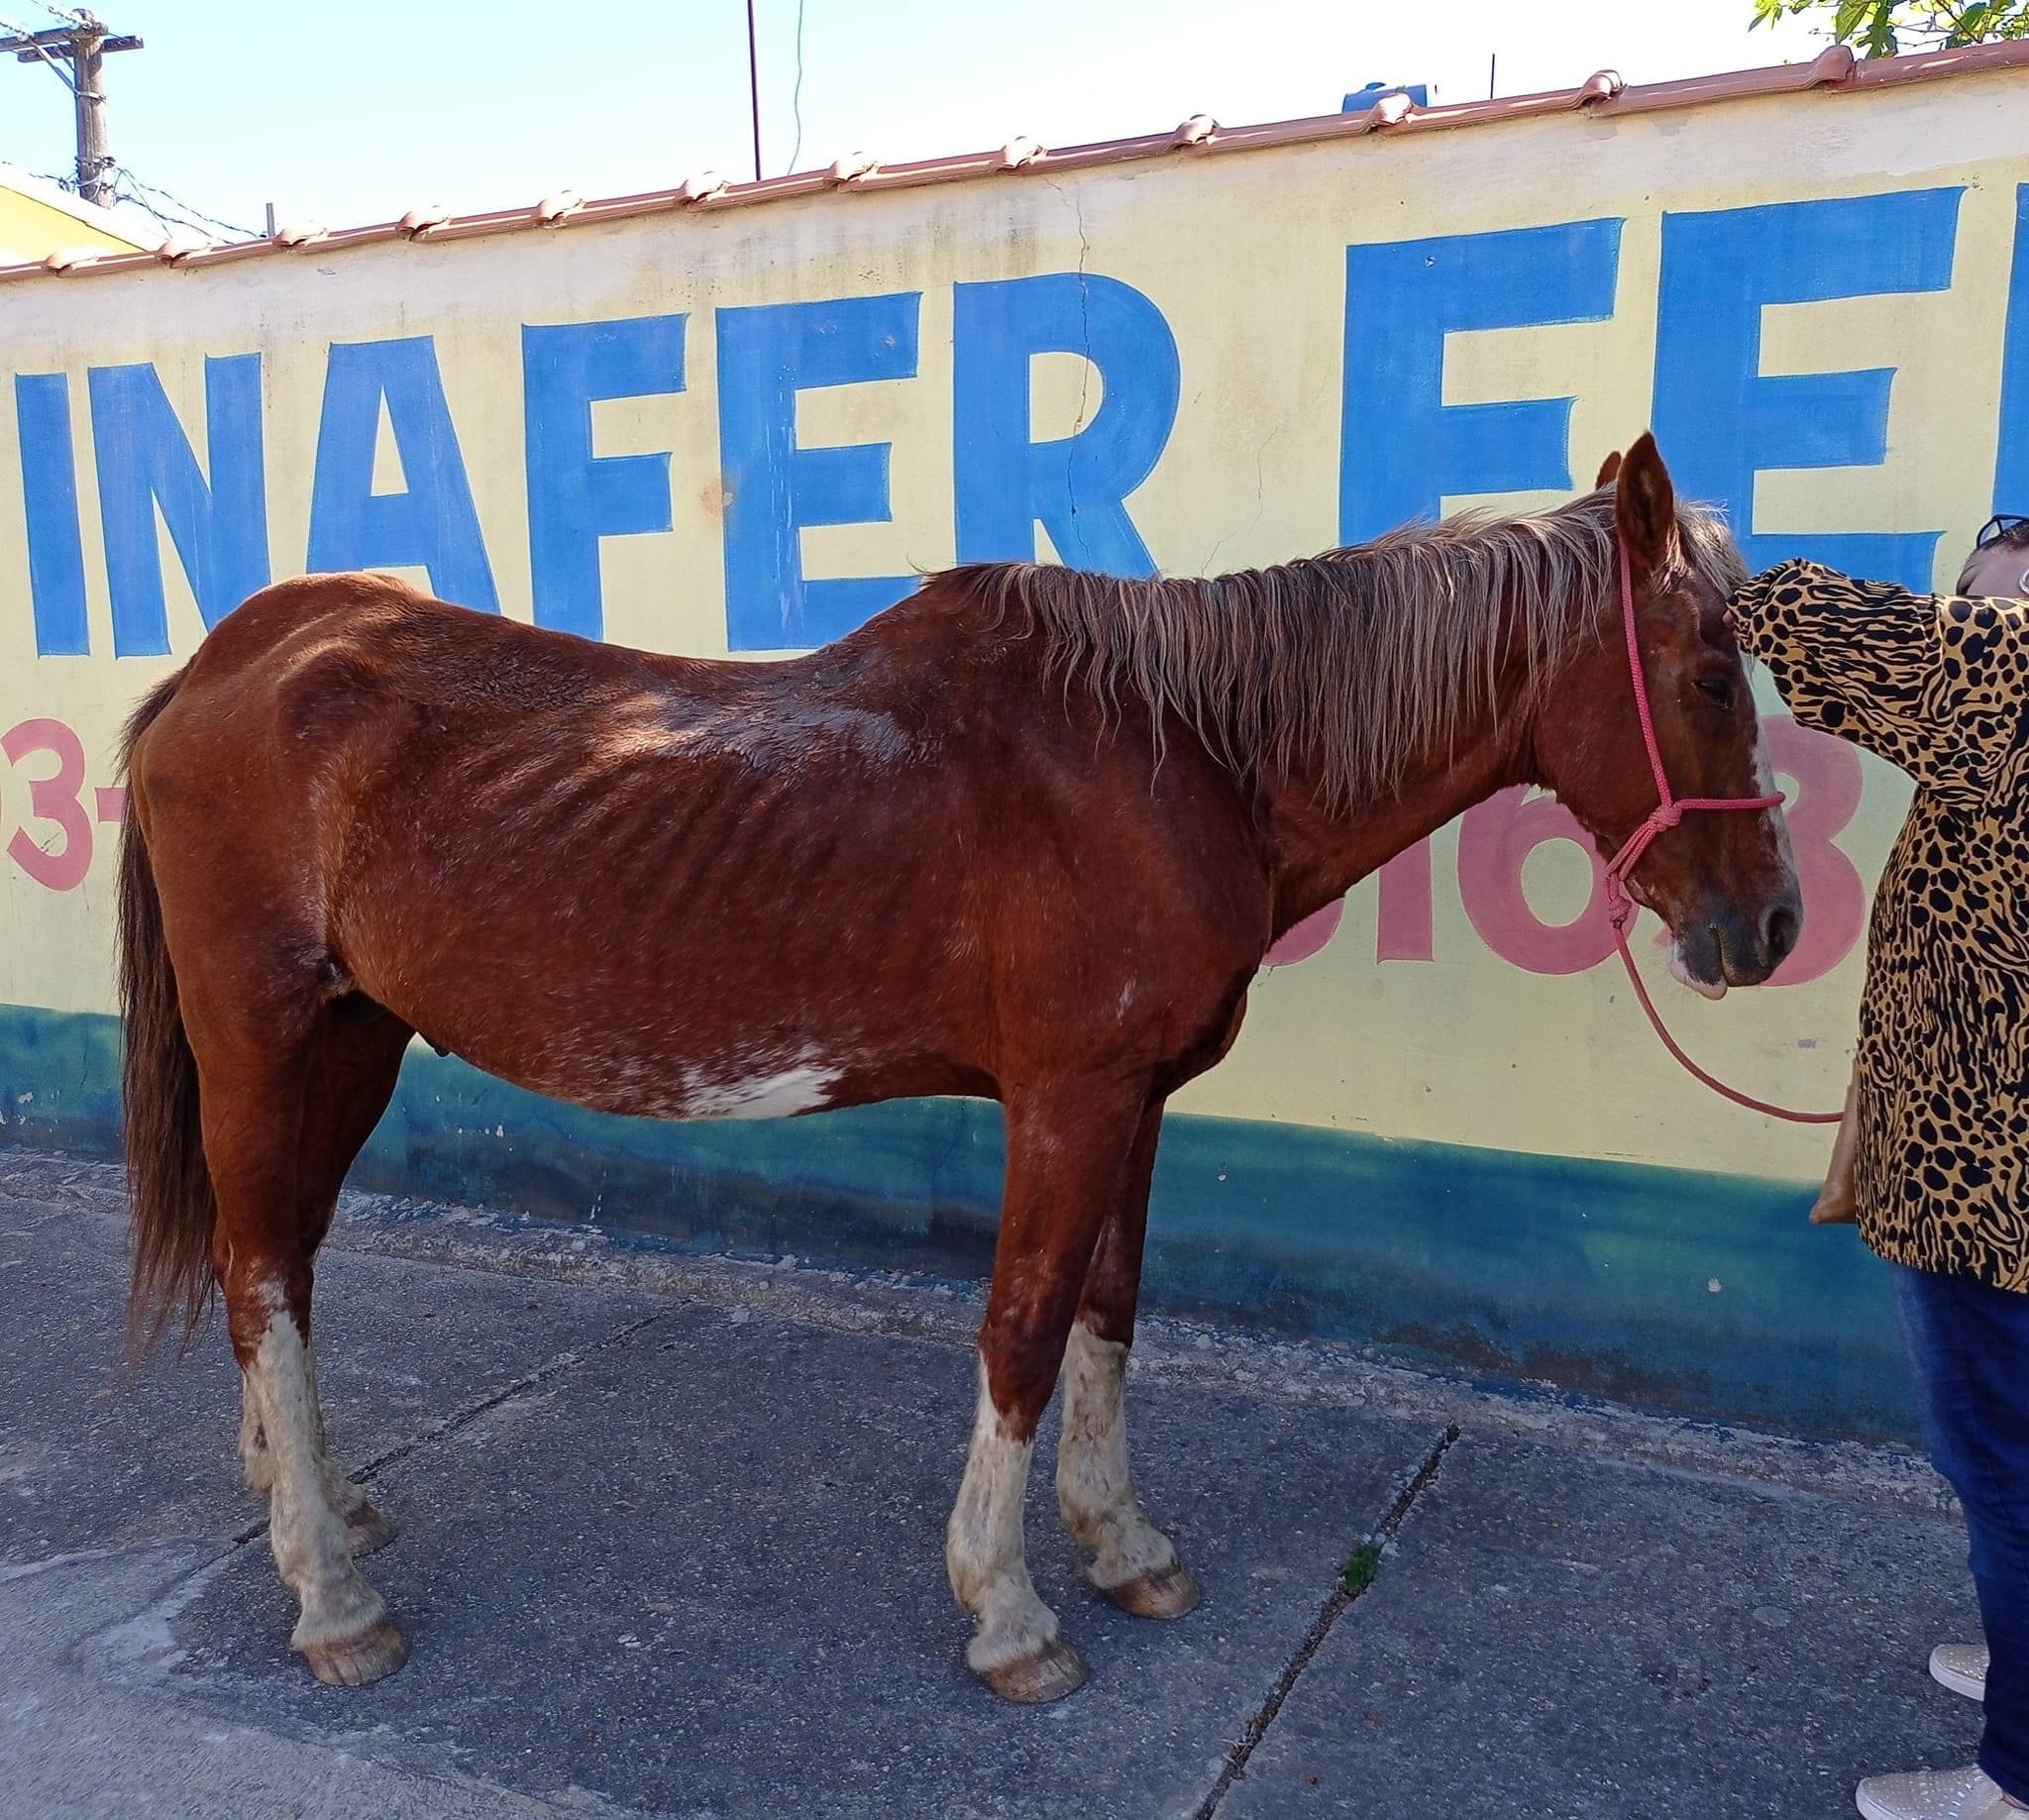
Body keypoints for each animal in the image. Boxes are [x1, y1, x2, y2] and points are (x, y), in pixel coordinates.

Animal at [115, 436, 1793, 1704]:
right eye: (1714, 676)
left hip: (353, 1038)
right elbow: (1023, 1332)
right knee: (260, 1274)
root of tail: (230, 661)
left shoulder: (1138, 1102)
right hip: (265, 1039)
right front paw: (1009, 1611)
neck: (1179, 755)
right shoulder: (1067, 1098)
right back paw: (331, 1595)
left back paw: (313, 1499)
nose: (1769, 924)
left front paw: (1125, 1548)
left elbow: (1110, 1315)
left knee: (286, 1261)